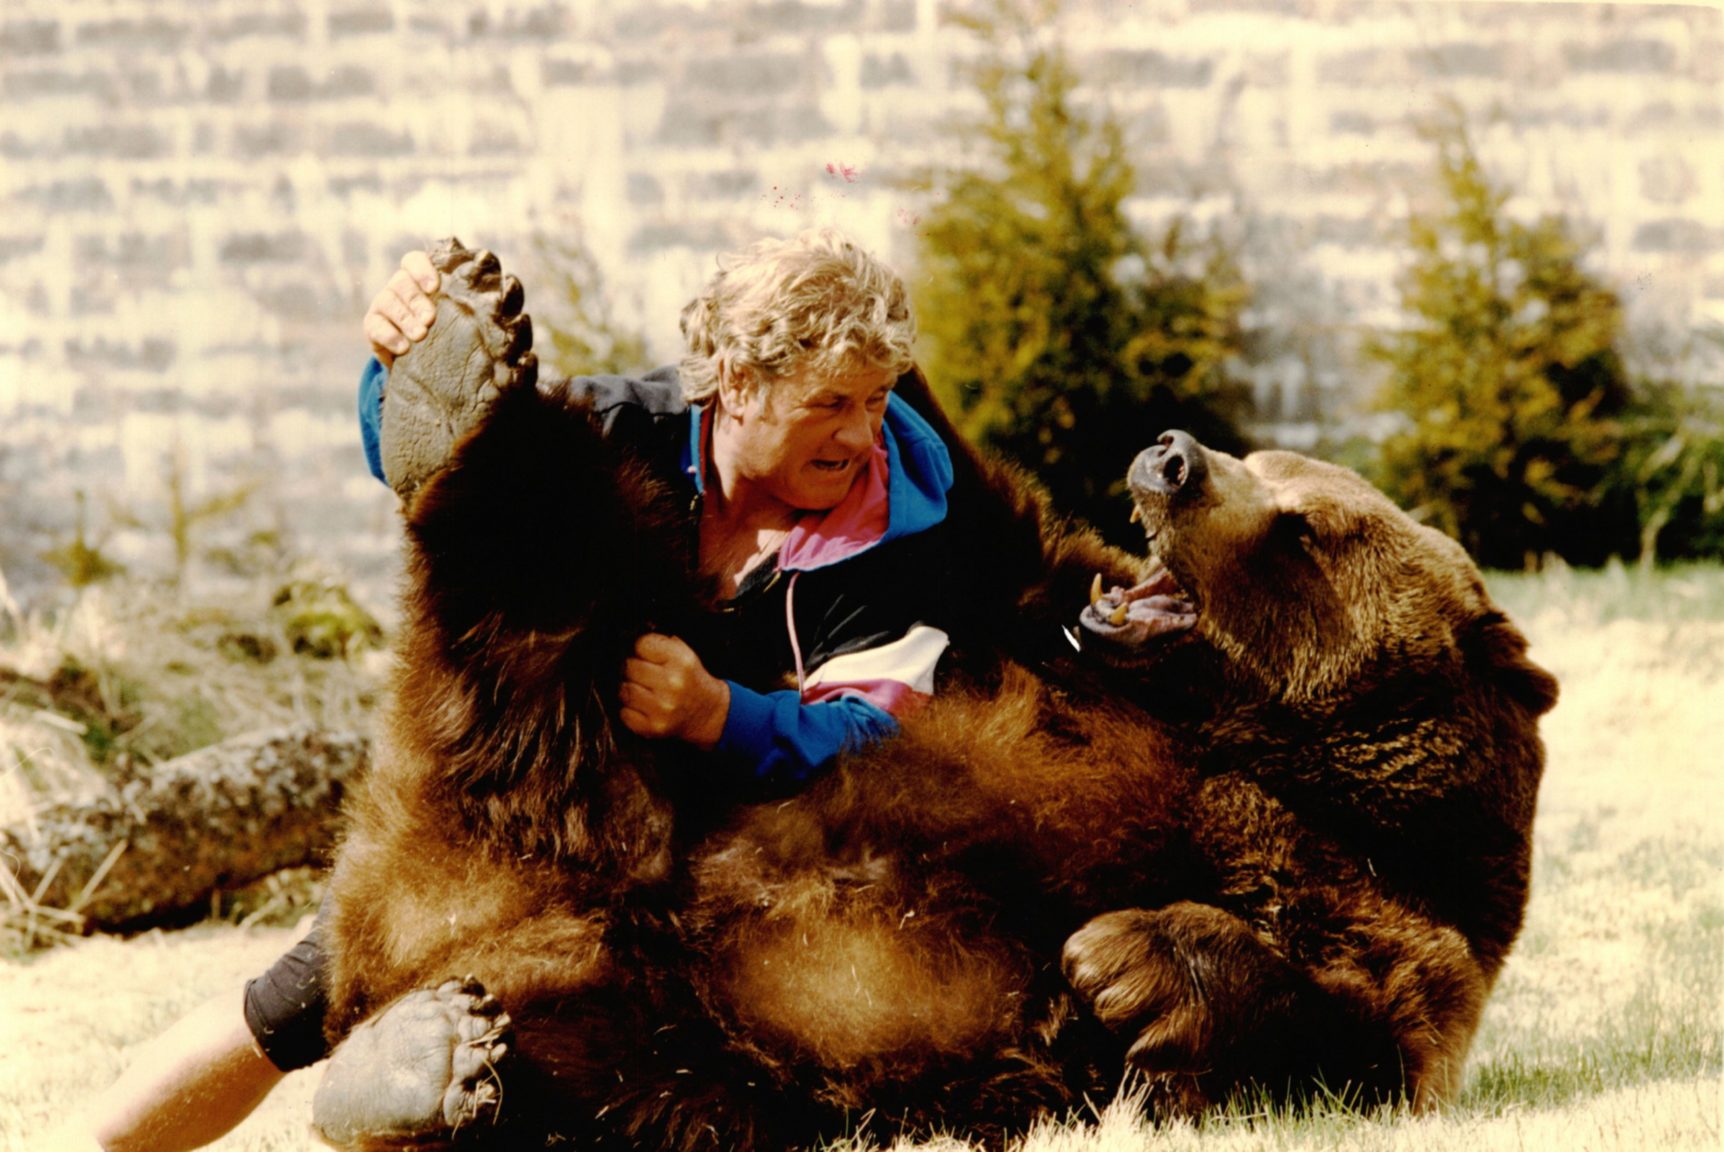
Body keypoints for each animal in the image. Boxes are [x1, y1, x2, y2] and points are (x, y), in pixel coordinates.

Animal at [311, 240, 1557, 1150]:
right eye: (1265, 464)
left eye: (1302, 527)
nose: (1172, 457)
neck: (1240, 738)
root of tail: (438, 926)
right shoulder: (1032, 618)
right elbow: (980, 517)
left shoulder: (1393, 912)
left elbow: (1354, 1029)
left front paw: (1126, 966)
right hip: (597, 738)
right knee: (535, 572)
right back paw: (454, 356)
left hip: (674, 1052)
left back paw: (421, 1064)